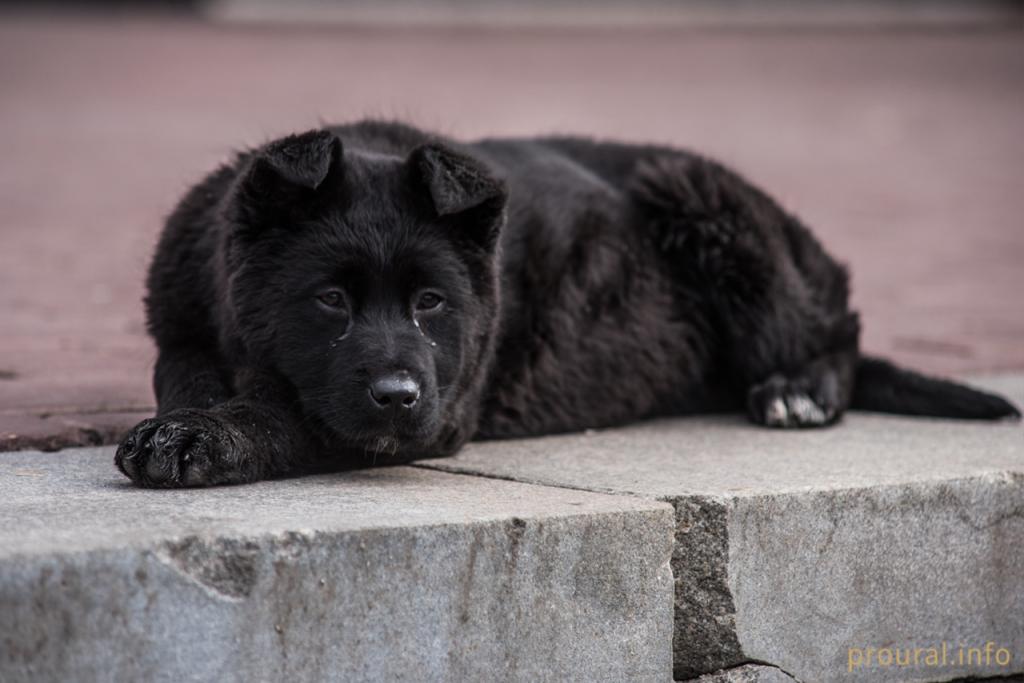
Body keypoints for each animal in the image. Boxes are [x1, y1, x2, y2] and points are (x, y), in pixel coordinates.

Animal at [117, 120, 1015, 489]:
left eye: (432, 301)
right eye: (330, 299)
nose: (398, 393)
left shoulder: (439, 409)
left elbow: (286, 414)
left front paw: (209, 437)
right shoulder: (183, 328)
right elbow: (185, 376)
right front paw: (186, 421)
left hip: (705, 203)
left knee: (840, 333)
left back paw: (797, 390)